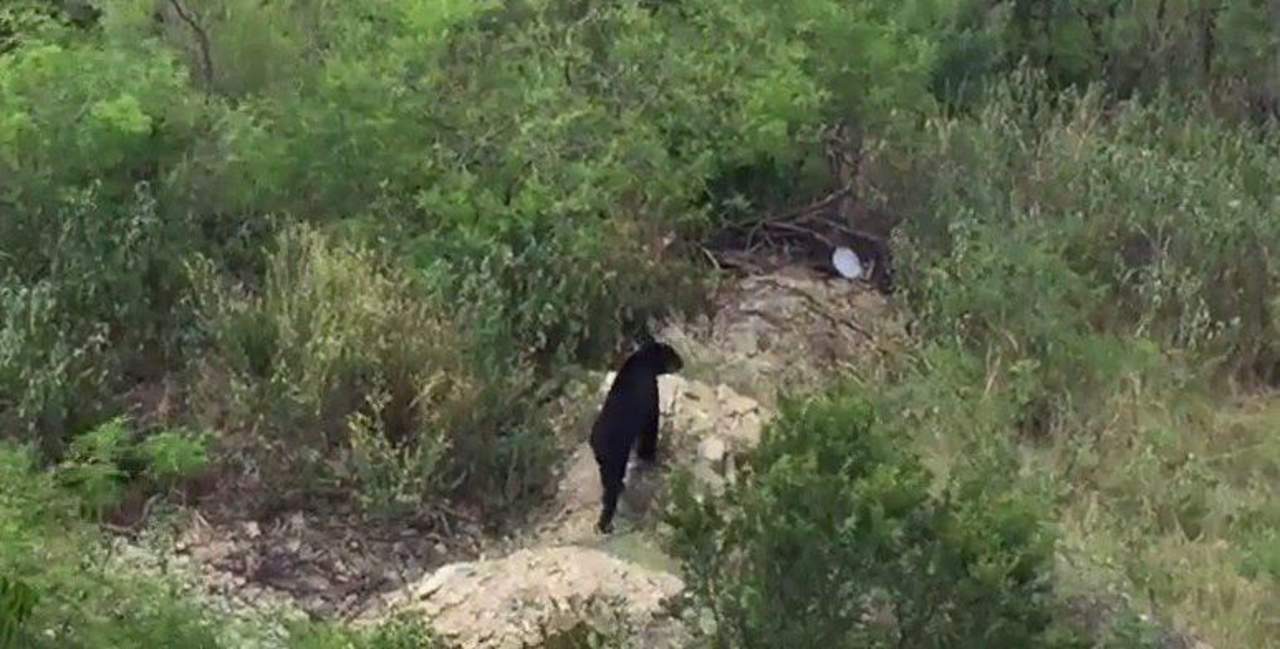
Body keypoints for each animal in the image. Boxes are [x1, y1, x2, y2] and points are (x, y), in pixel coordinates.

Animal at [591, 340, 686, 532]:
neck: (643, 361)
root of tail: (595, 441)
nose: (682, 362)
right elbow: (650, 425)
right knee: (611, 486)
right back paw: (605, 523)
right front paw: (650, 456)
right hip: (616, 454)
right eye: (672, 353)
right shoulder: (650, 390)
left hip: (603, 461)